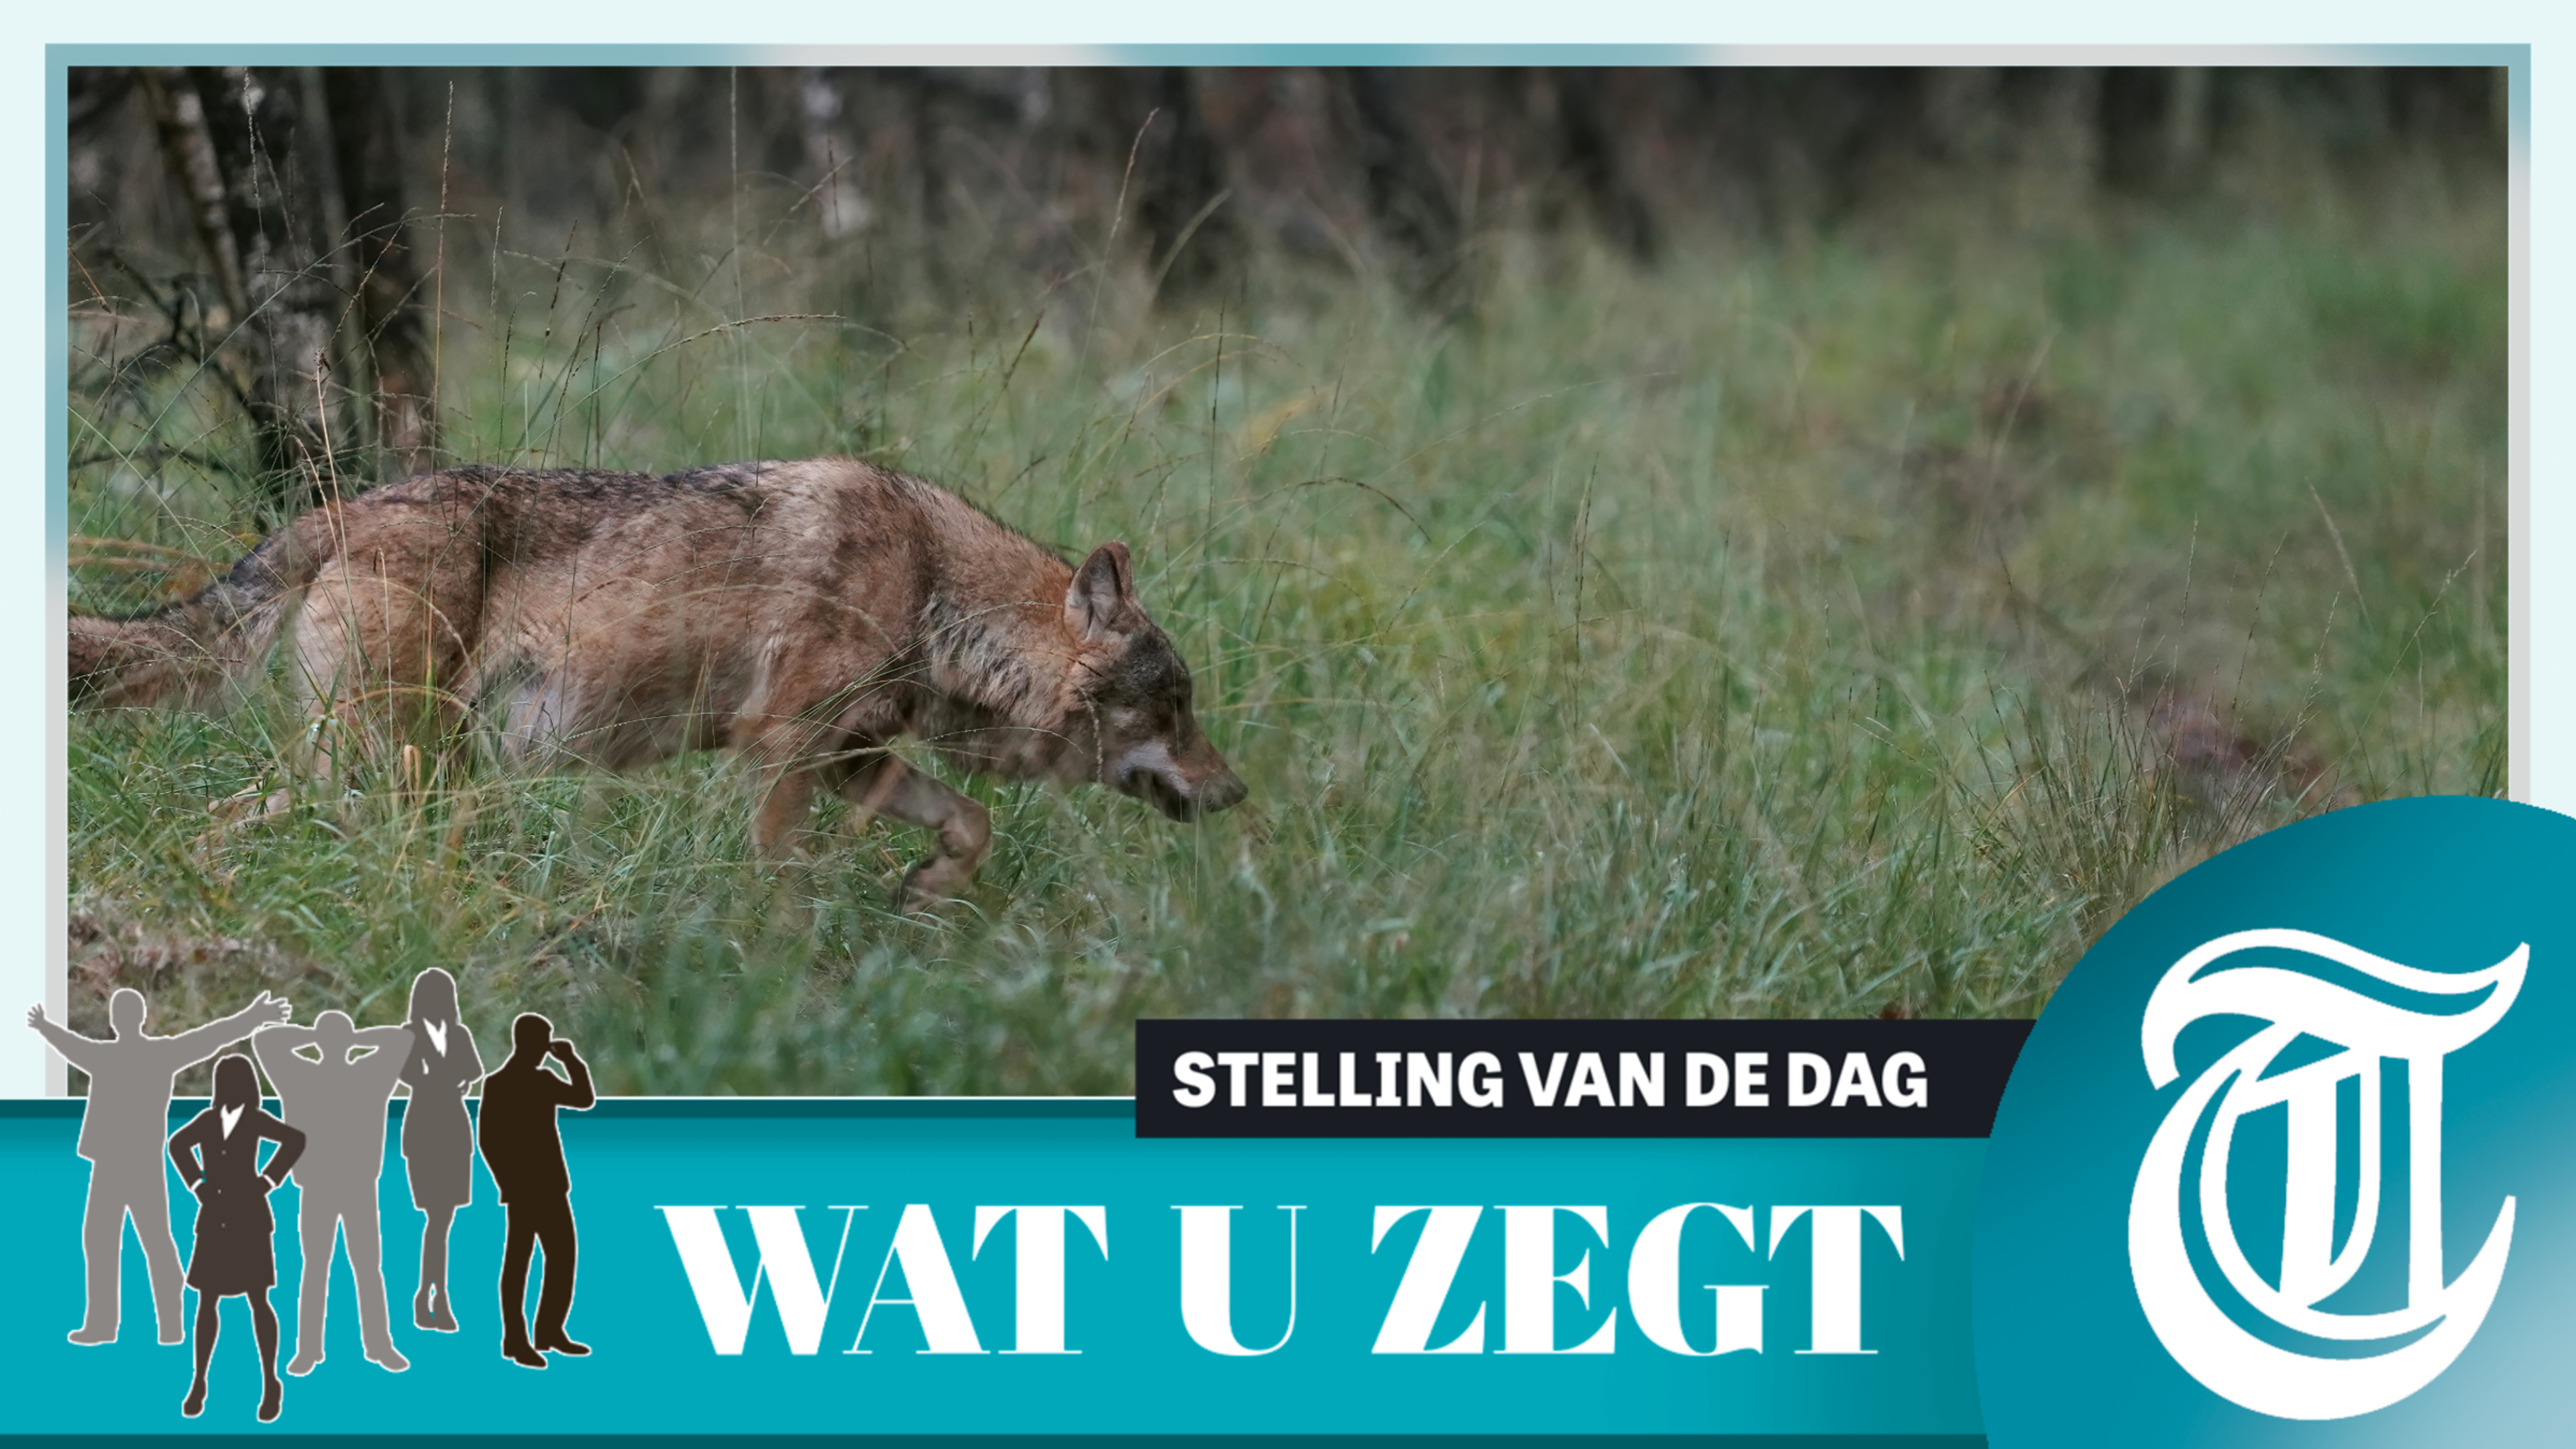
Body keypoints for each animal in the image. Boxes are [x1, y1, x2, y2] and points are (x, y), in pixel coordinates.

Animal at [70, 459, 1248, 910]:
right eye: (1177, 705)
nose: (1239, 795)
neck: (933, 589)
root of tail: (342, 506)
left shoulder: (855, 757)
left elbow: (972, 822)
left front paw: (922, 892)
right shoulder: (785, 753)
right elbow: (783, 883)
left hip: (394, 772)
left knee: (214, 826)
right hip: (379, 763)